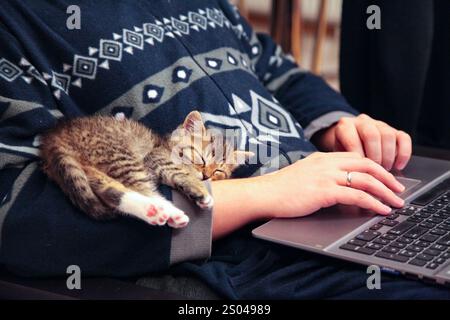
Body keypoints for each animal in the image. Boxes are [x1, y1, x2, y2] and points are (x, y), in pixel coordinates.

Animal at [39, 111, 253, 229]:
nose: (207, 175)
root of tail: (55, 136)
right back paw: (165, 211)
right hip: (120, 156)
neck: (166, 146)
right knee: (141, 187)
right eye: (201, 158)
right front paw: (200, 191)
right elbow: (179, 173)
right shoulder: (155, 159)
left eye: (218, 172)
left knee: (111, 190)